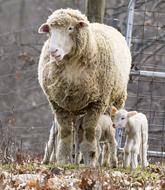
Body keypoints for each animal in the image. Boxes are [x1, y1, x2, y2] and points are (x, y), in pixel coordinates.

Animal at [37, 8, 131, 166]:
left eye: (70, 28)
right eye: (49, 30)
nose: (53, 51)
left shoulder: (97, 103)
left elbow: (89, 131)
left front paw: (90, 160)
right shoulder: (58, 104)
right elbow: (65, 132)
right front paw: (62, 160)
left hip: (116, 100)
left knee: (109, 138)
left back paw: (106, 162)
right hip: (75, 107)